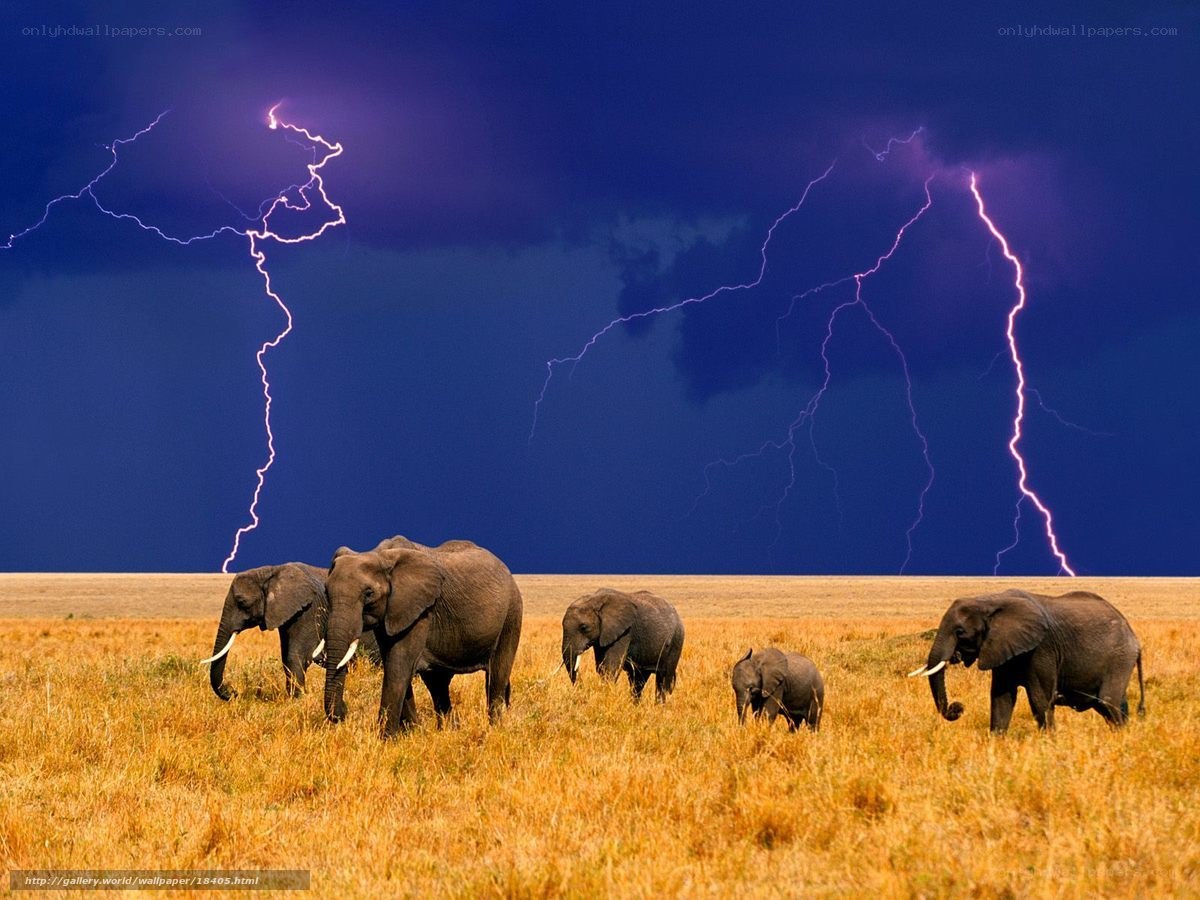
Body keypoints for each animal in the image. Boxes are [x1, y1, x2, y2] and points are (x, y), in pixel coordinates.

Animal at [203, 563, 379, 701]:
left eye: (241, 602)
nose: (233, 692)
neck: (271, 571)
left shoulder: (309, 609)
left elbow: (296, 655)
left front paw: (297, 700)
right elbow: (286, 656)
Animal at [322, 537, 523, 737]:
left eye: (369, 593)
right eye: (326, 592)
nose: (344, 711)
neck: (381, 555)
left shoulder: (420, 609)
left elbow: (398, 665)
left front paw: (386, 740)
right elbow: (395, 664)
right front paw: (413, 734)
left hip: (511, 615)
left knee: (496, 676)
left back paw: (495, 730)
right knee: (438, 684)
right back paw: (447, 732)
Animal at [909, 589, 1145, 732]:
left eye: (960, 632)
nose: (957, 707)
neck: (989, 600)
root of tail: (1134, 637)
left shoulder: (1041, 648)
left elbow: (1040, 699)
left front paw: (1049, 743)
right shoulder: (1001, 648)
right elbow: (1001, 697)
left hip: (1119, 657)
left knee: (1107, 701)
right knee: (1113, 704)